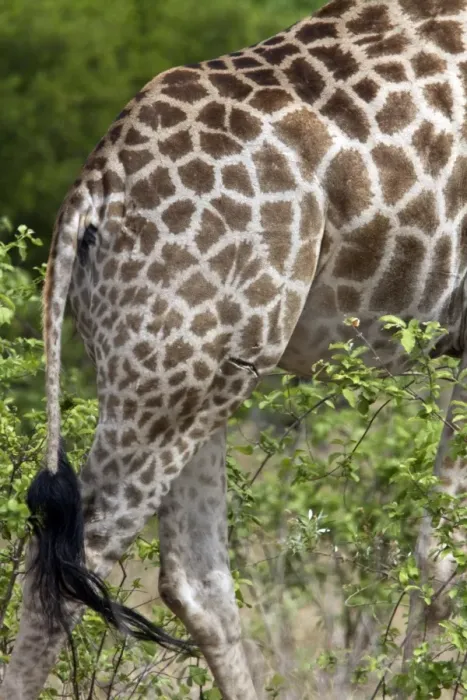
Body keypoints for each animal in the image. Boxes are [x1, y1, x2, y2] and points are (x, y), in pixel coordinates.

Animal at [3, 0, 467, 697]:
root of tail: (93, 190)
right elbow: (443, 556)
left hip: (198, 372)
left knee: (193, 577)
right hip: (175, 370)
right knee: (74, 560)